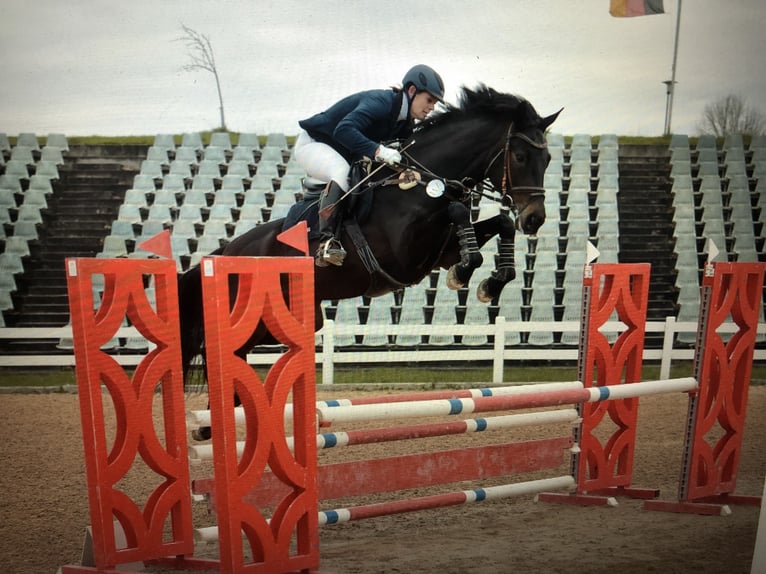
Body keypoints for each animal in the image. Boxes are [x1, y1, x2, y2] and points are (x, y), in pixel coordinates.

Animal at [179, 85, 560, 437]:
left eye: (548, 161)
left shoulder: (441, 251)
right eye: (521, 156)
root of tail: (223, 252)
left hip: (285, 321)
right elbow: (457, 211)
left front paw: (487, 283)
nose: (535, 219)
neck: (418, 186)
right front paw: (468, 271)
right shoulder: (408, 253)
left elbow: (500, 224)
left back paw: (215, 422)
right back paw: (210, 424)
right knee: (222, 353)